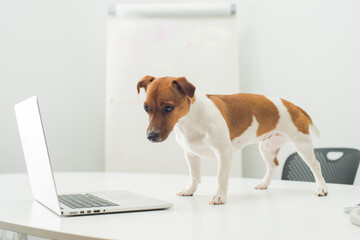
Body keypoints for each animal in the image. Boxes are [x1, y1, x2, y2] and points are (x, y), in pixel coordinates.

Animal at [136, 75, 328, 204]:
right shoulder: (191, 155)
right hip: (266, 148)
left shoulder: (224, 154)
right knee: (273, 165)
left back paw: (322, 188)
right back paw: (264, 184)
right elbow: (194, 176)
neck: (191, 120)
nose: (151, 136)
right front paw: (190, 190)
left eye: (168, 108)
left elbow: (221, 177)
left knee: (316, 165)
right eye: (146, 108)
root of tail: (294, 106)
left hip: (301, 144)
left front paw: (219, 196)